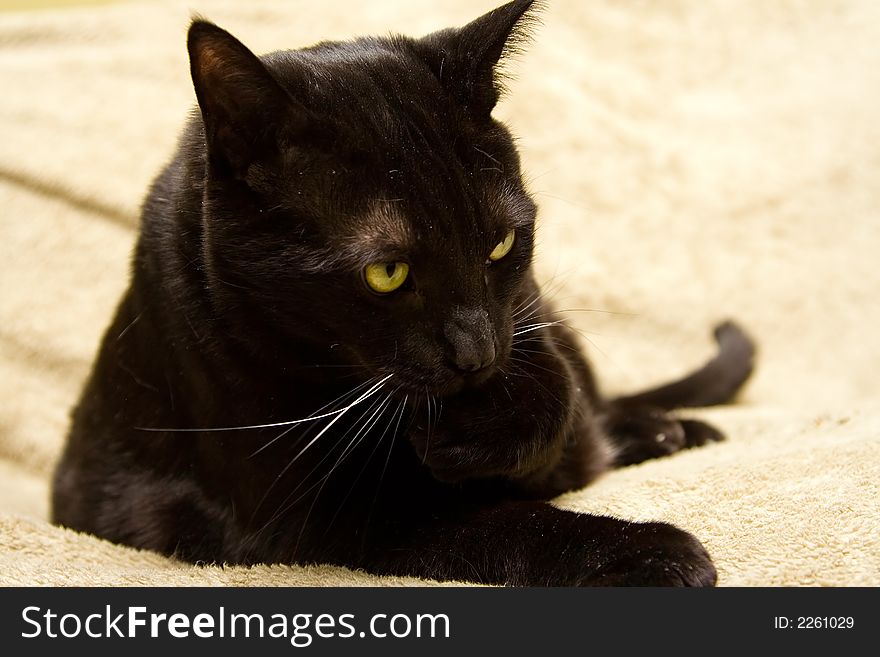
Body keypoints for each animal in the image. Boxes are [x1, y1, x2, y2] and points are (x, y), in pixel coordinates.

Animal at [51, 0, 752, 584]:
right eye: (387, 273)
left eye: (501, 243)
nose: (475, 354)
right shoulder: (322, 519)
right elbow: (505, 524)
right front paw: (653, 552)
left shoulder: (525, 319)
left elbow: (556, 398)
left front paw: (481, 435)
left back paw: (670, 428)